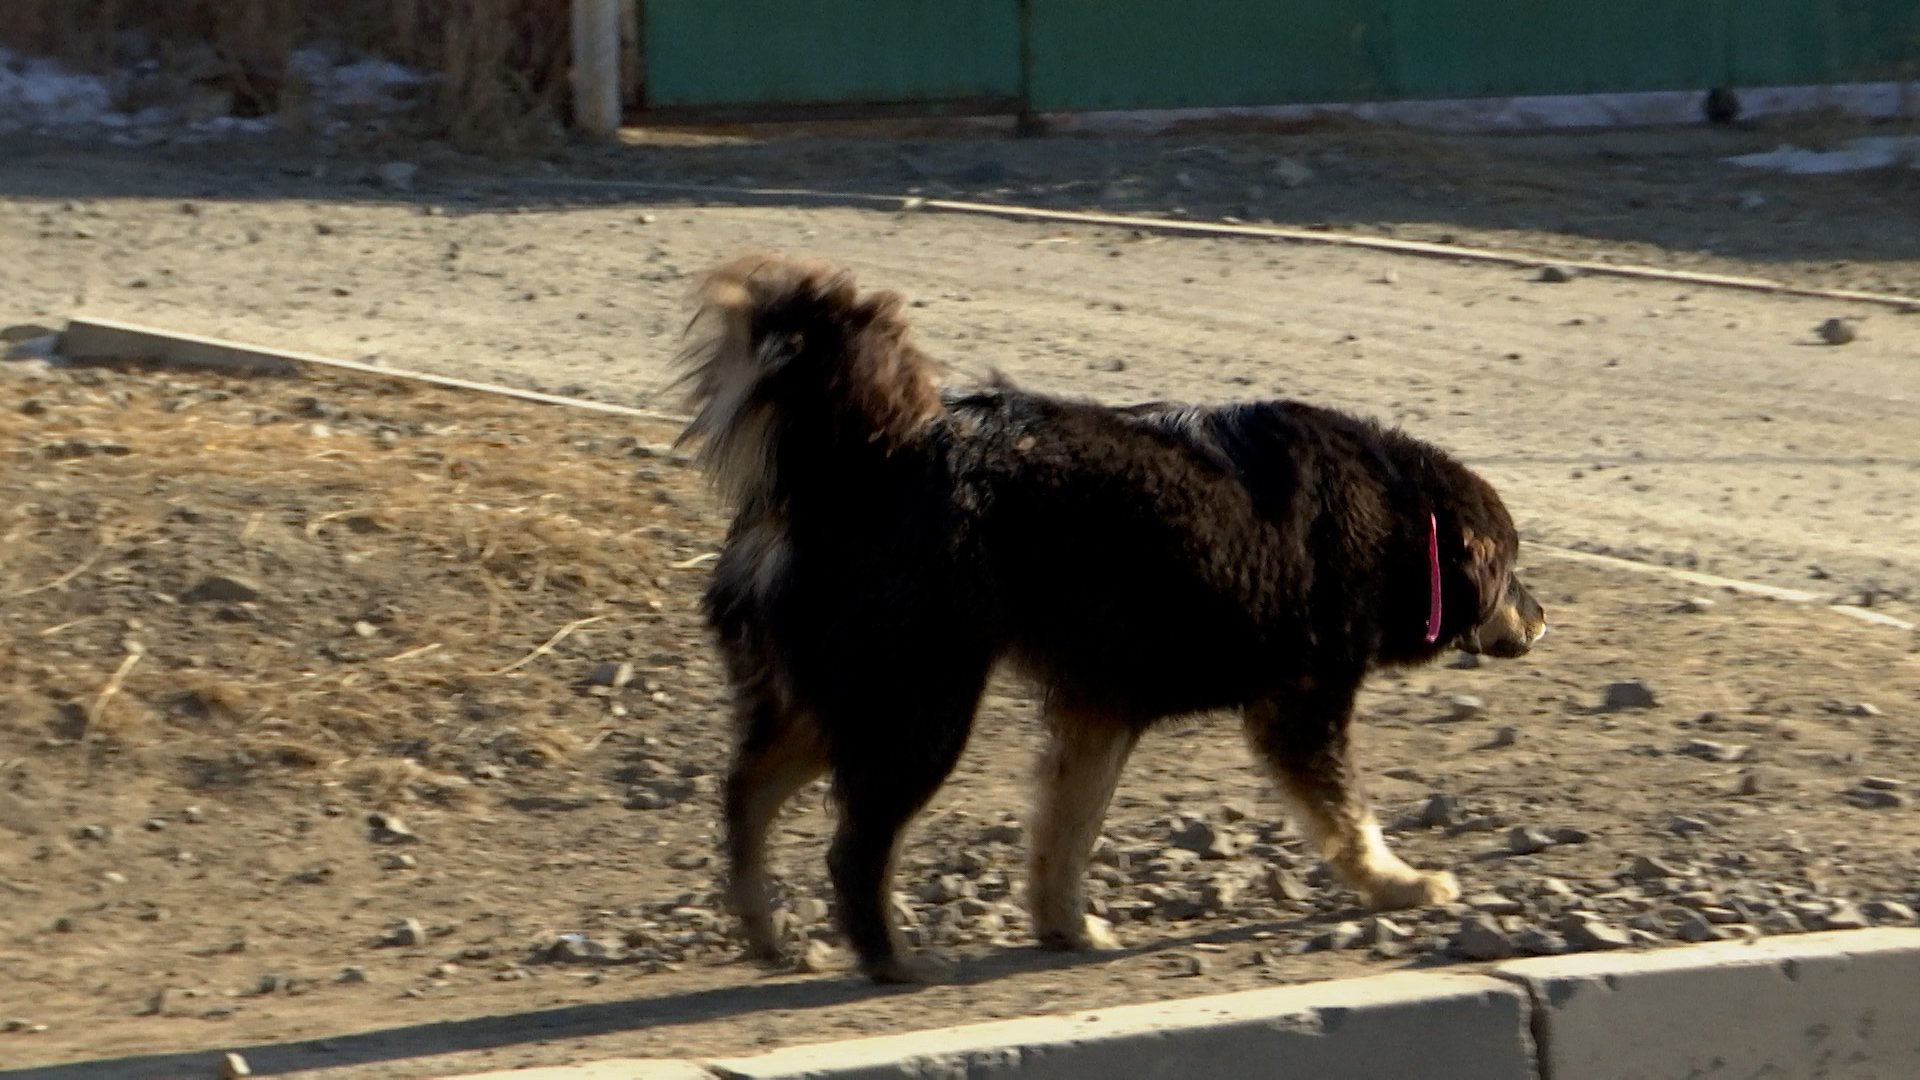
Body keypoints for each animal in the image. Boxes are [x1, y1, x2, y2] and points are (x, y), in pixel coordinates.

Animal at [675, 253, 1543, 983]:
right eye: (1512, 568)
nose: (1540, 620)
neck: (1402, 519)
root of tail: (846, 467)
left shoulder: (1100, 712)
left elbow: (1064, 832)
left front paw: (1064, 926)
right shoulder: (1303, 707)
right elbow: (1351, 822)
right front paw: (1401, 886)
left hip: (839, 698)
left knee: (746, 792)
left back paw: (769, 935)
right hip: (918, 705)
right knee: (853, 849)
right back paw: (892, 959)